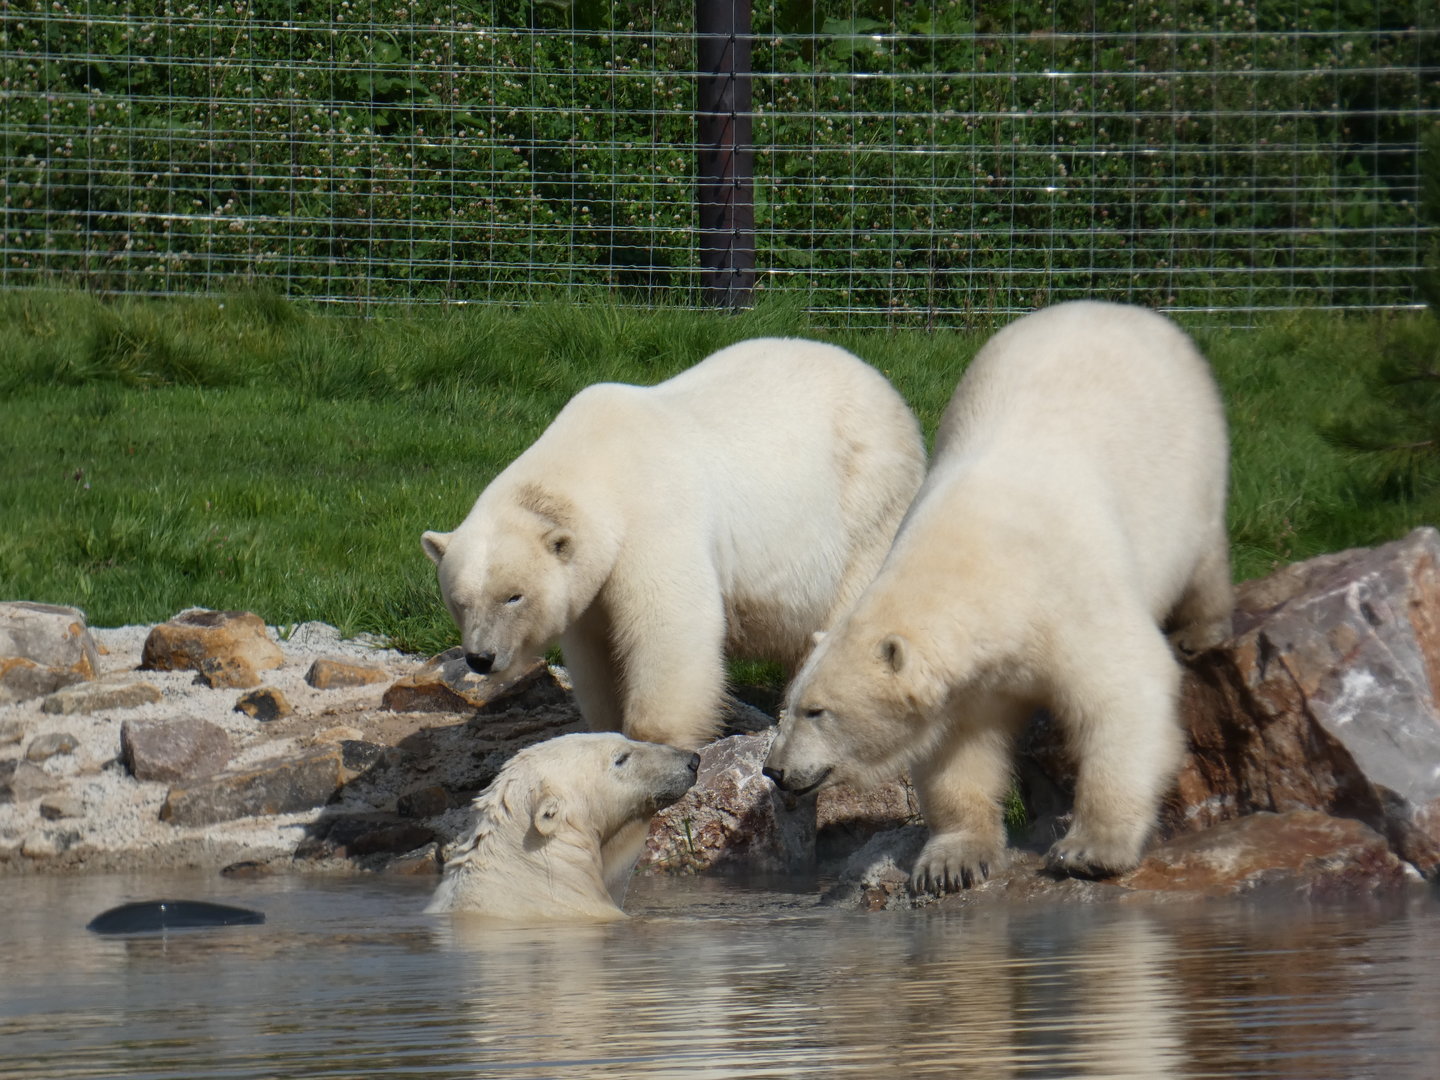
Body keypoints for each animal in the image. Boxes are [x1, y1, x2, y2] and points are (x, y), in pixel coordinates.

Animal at [421, 337, 926, 749]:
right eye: (459, 601)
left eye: (513, 596)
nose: (481, 658)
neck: (594, 458)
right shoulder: (590, 586)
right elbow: (594, 648)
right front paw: (605, 729)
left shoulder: (653, 515)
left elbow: (668, 625)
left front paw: (656, 740)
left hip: (868, 501)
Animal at [763, 301, 1233, 891]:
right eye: (789, 706)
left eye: (817, 711)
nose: (774, 769)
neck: (979, 564)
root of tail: (1118, 307)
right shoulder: (970, 681)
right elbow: (960, 748)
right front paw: (951, 863)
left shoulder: (1072, 594)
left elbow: (1124, 693)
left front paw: (1090, 849)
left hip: (1191, 450)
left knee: (1203, 550)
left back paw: (1203, 628)